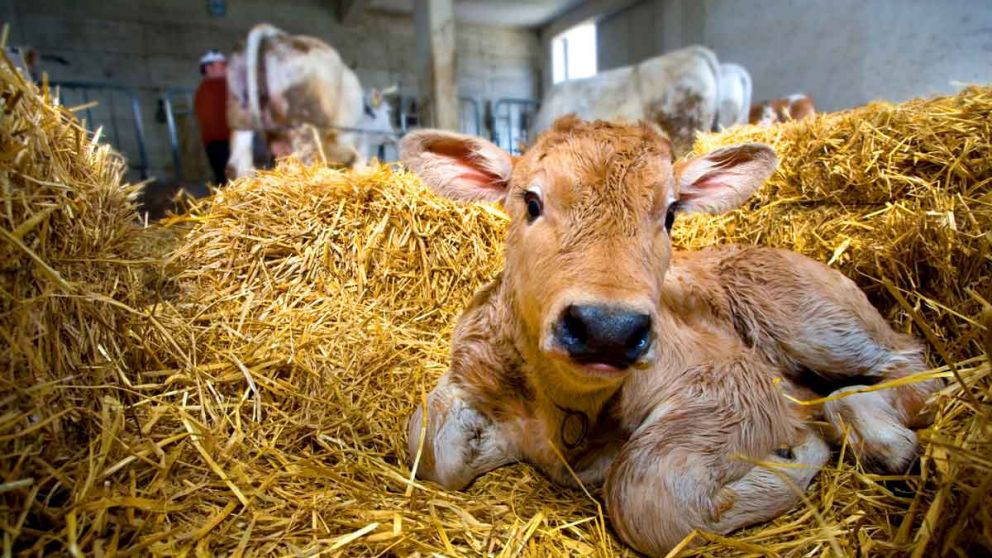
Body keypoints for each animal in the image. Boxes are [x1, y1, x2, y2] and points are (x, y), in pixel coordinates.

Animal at [225, 24, 397, 178]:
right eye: (387, 111)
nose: (394, 135)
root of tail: (277, 38)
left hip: (240, 116)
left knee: (237, 164)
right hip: (301, 123)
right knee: (305, 160)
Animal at [400, 117, 938, 556]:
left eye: (670, 214)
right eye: (531, 202)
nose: (607, 328)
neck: (568, 407)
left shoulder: (736, 382)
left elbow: (649, 499)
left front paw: (792, 455)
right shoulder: (471, 368)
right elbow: (431, 447)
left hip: (810, 315)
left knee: (905, 364)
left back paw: (882, 437)